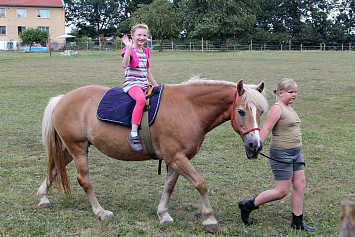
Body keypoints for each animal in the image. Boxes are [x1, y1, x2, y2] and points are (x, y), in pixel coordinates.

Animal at [37, 78, 268, 233]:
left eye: (261, 112)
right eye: (241, 111)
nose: (255, 145)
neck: (188, 109)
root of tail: (62, 99)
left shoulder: (175, 159)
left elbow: (169, 186)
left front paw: (163, 214)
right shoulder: (177, 157)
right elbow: (200, 184)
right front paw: (209, 219)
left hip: (70, 149)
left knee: (55, 168)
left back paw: (43, 198)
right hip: (78, 147)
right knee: (84, 179)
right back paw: (100, 212)